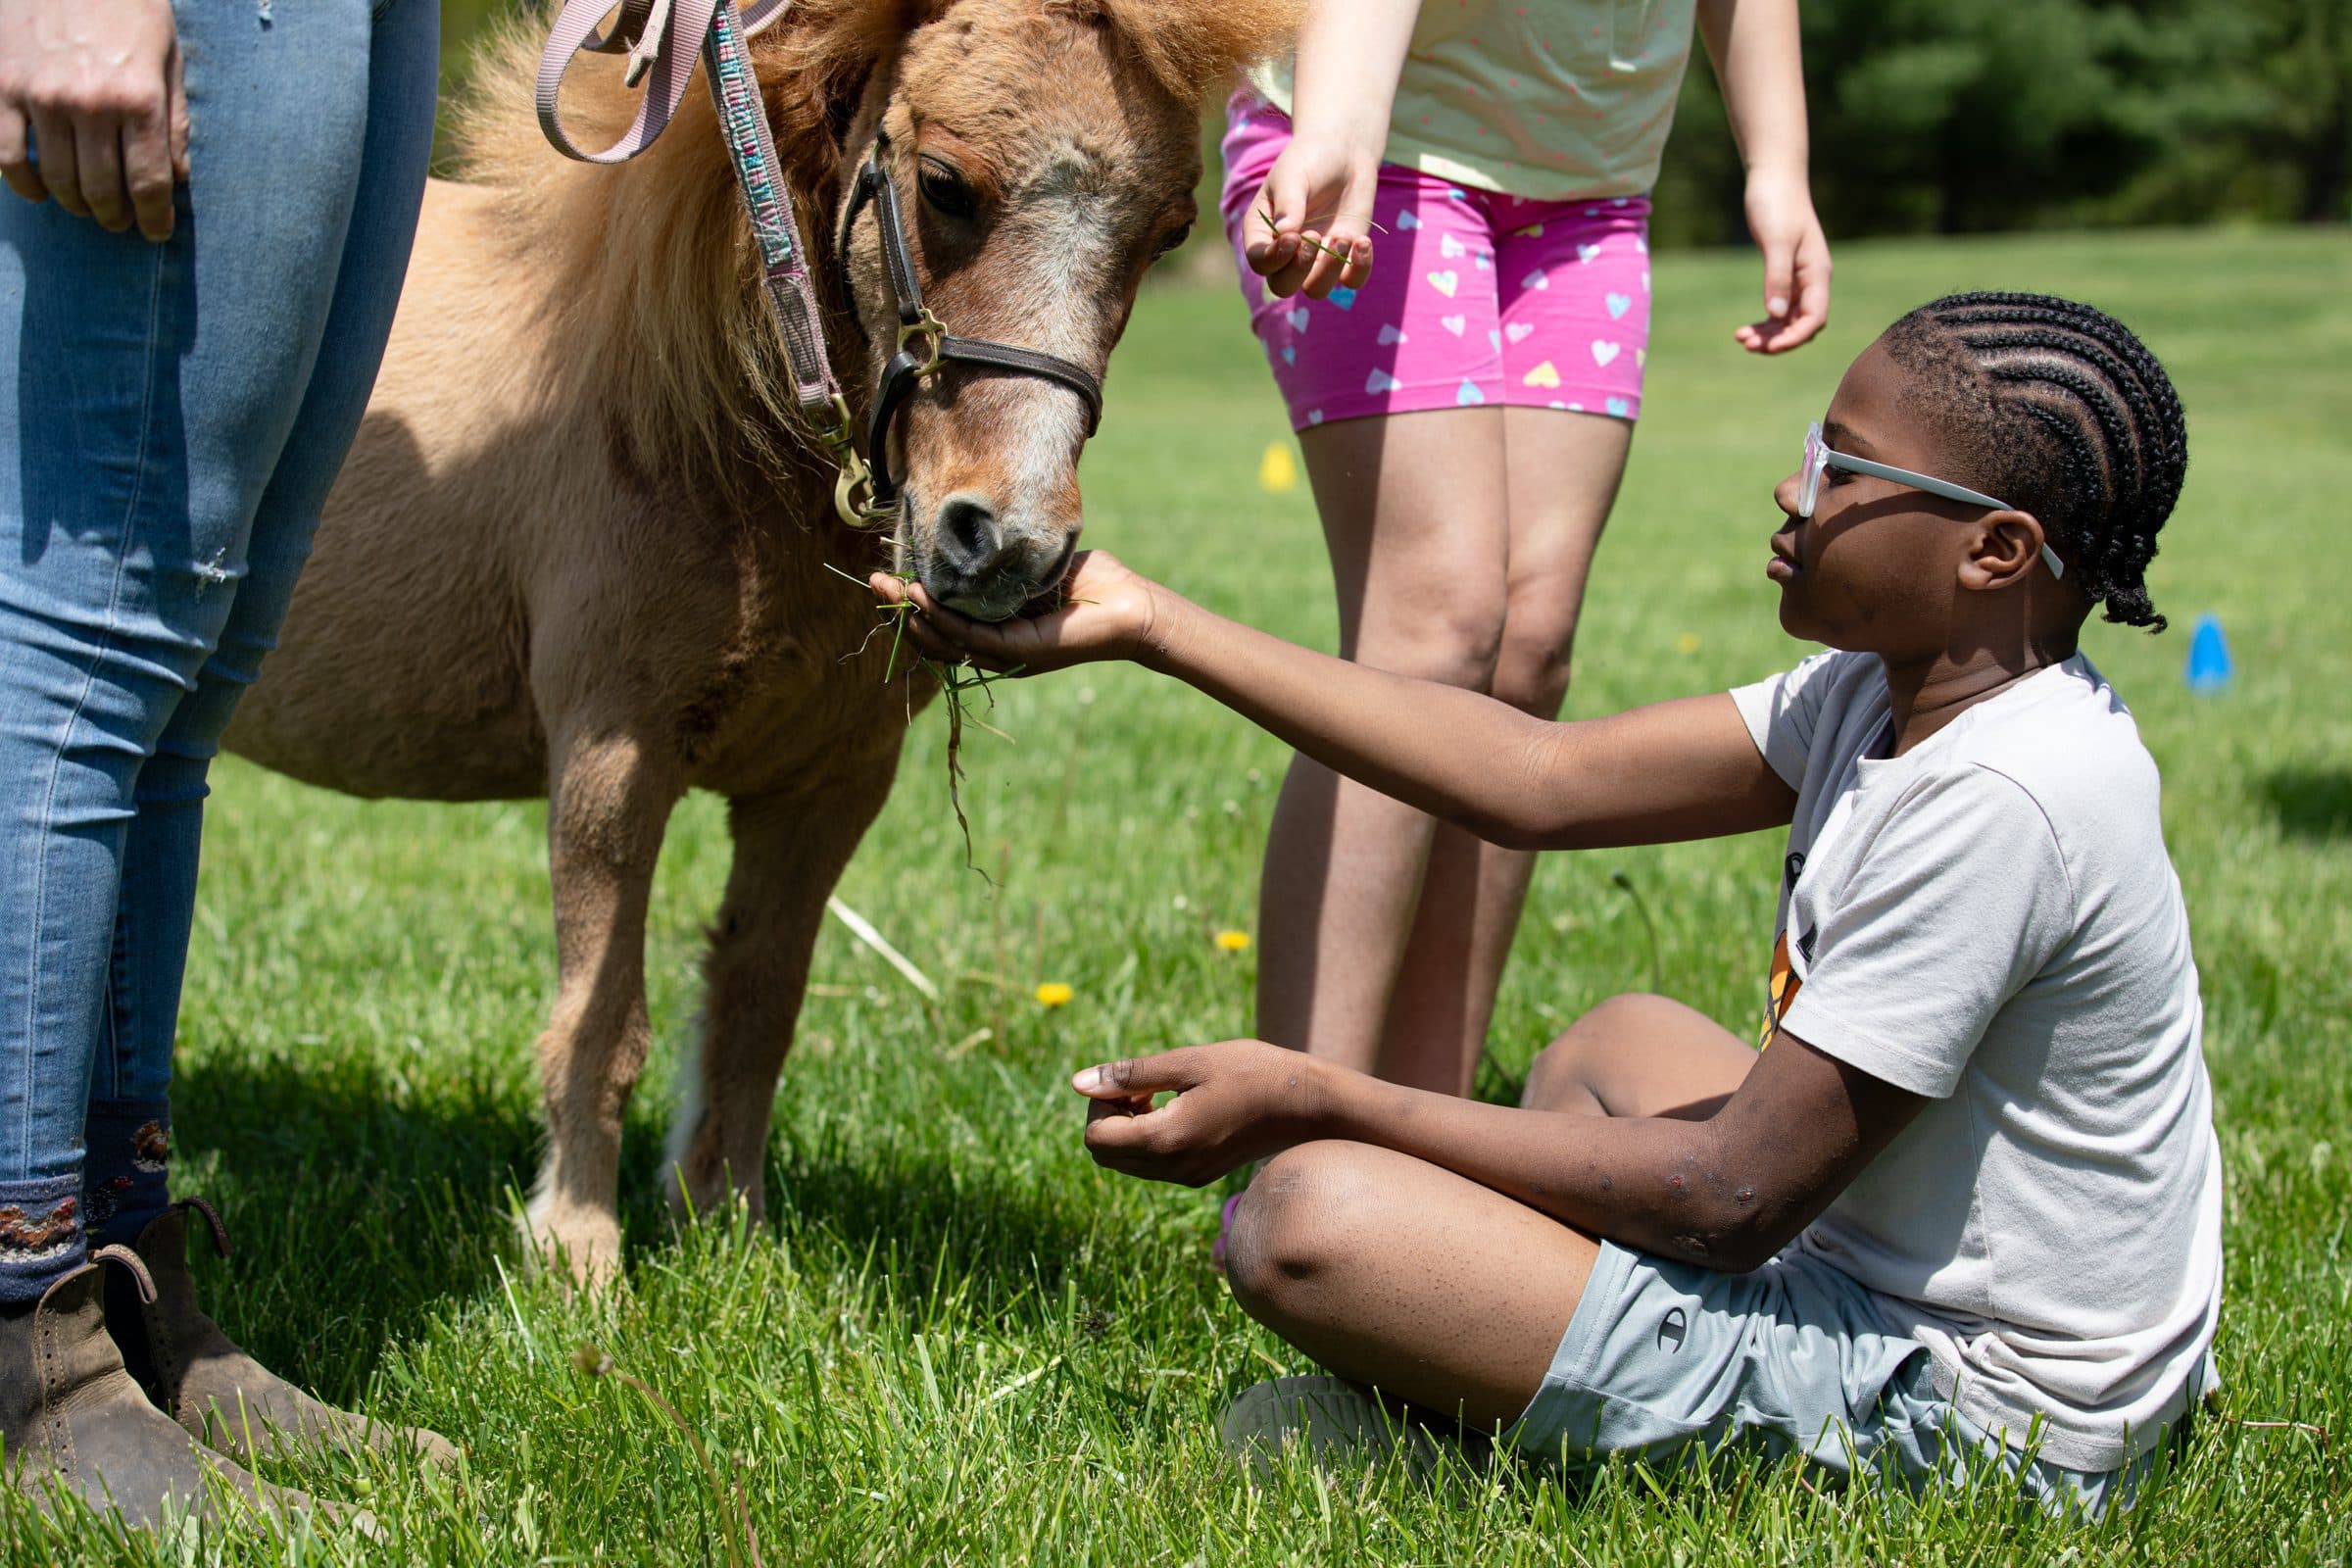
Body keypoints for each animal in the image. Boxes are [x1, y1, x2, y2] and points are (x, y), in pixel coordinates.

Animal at [222, 0, 1298, 1280]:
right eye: (946, 185)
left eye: (1168, 227)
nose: (1007, 545)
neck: (703, 423)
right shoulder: (610, 757)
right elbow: (602, 1021)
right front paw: (578, 1258)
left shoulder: (827, 785)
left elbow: (756, 1005)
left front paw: (727, 1232)